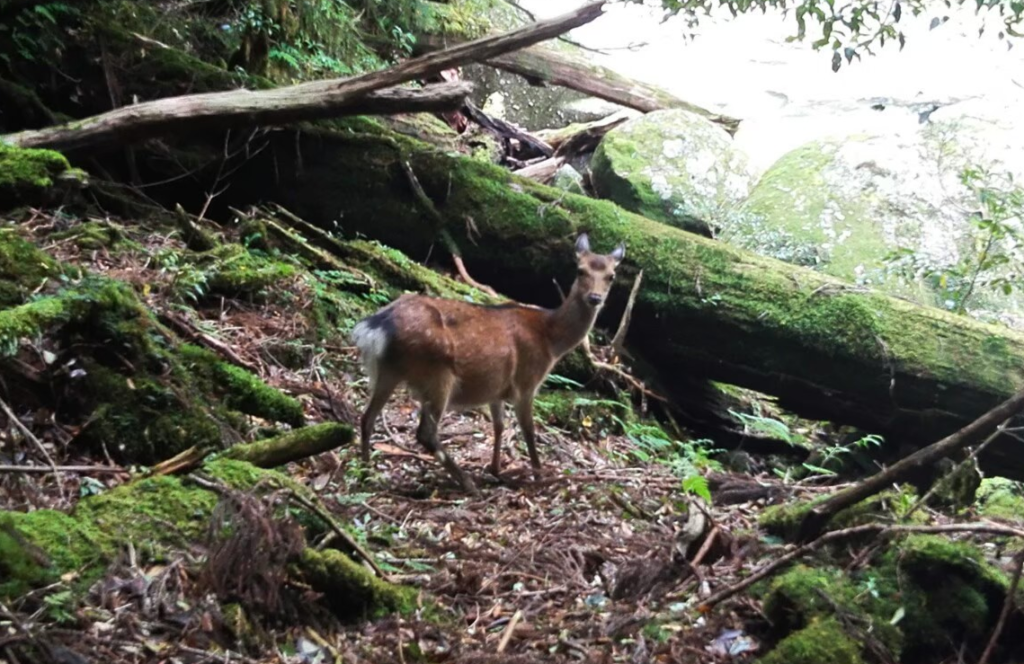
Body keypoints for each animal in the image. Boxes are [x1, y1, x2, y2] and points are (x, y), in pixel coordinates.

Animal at [352, 233, 622, 498]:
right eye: (580, 270)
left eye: (611, 276)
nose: (595, 298)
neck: (550, 340)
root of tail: (377, 326)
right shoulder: (527, 381)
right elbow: (528, 430)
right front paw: (539, 475)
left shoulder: (496, 390)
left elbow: (499, 426)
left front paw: (495, 469)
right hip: (438, 374)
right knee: (425, 432)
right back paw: (467, 483)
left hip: (386, 371)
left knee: (367, 418)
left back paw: (366, 475)